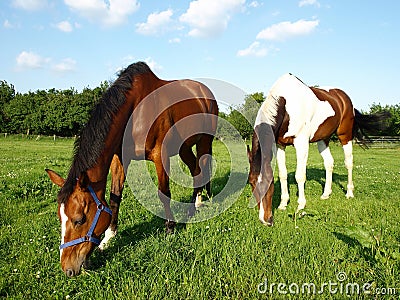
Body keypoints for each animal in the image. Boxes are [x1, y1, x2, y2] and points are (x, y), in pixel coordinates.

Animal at [47, 62, 219, 278]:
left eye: (79, 220)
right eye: (60, 217)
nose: (68, 268)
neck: (136, 110)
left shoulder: (160, 156)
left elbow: (164, 193)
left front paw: (170, 228)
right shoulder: (119, 159)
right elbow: (115, 197)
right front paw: (108, 237)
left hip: (205, 141)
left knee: (202, 169)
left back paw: (197, 205)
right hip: (184, 147)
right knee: (196, 170)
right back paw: (194, 204)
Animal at [247, 74, 390, 226]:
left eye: (269, 183)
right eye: (251, 182)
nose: (265, 220)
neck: (287, 105)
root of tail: (344, 97)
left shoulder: (301, 143)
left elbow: (300, 176)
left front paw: (300, 205)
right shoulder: (280, 145)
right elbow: (283, 174)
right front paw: (283, 204)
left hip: (345, 136)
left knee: (349, 163)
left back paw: (349, 193)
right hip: (323, 140)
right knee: (329, 163)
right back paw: (326, 194)